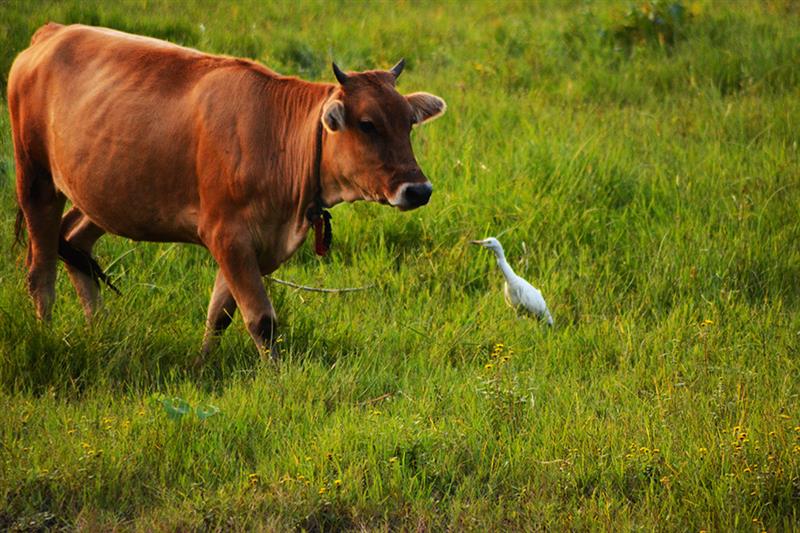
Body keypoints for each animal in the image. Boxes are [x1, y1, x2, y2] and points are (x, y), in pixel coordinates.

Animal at [6, 23, 444, 358]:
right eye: (368, 124)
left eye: (408, 122)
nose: (418, 190)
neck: (276, 136)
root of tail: (53, 32)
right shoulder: (226, 234)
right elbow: (261, 320)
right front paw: (277, 379)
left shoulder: (255, 243)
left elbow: (220, 314)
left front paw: (203, 363)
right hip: (36, 178)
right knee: (40, 270)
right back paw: (47, 335)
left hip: (106, 193)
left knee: (73, 241)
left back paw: (99, 328)